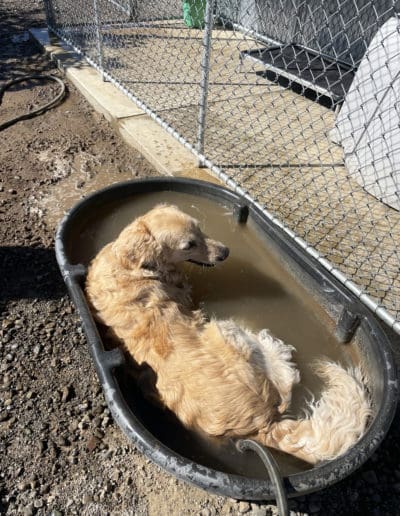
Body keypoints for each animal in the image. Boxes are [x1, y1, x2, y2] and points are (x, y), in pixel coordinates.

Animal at [86, 205, 370, 464]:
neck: (130, 266)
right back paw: (275, 348)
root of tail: (263, 424)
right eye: (189, 245)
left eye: (199, 229)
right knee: (286, 380)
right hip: (226, 332)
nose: (225, 252)